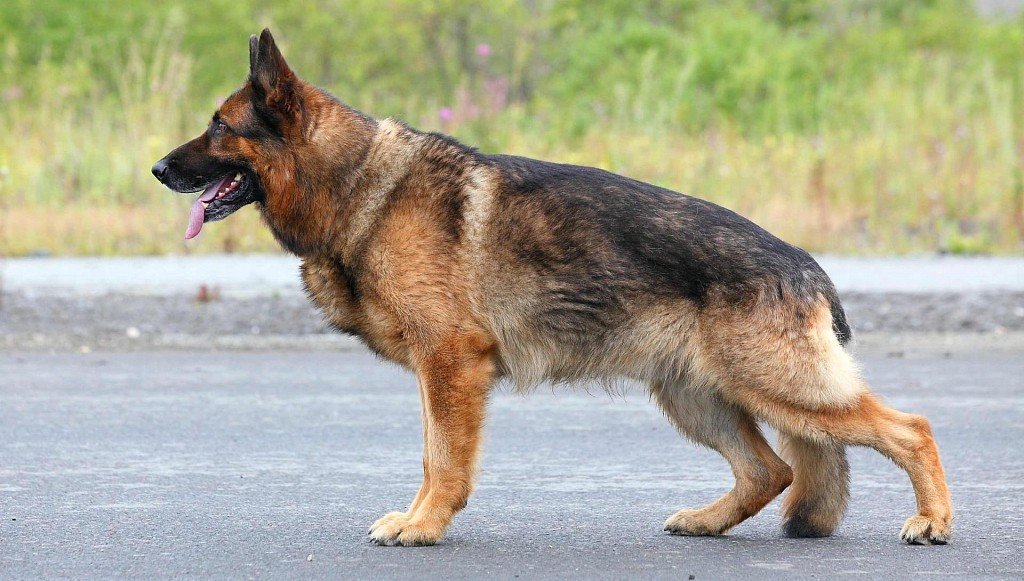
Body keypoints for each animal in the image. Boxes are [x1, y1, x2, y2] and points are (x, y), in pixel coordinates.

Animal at [151, 29, 950, 549]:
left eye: (218, 127)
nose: (157, 169)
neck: (354, 184)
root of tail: (807, 265)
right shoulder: (439, 372)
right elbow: (430, 455)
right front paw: (418, 518)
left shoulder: (451, 366)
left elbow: (444, 459)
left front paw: (425, 526)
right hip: (697, 396)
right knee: (773, 469)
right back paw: (705, 520)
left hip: (781, 388)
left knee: (909, 428)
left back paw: (933, 520)